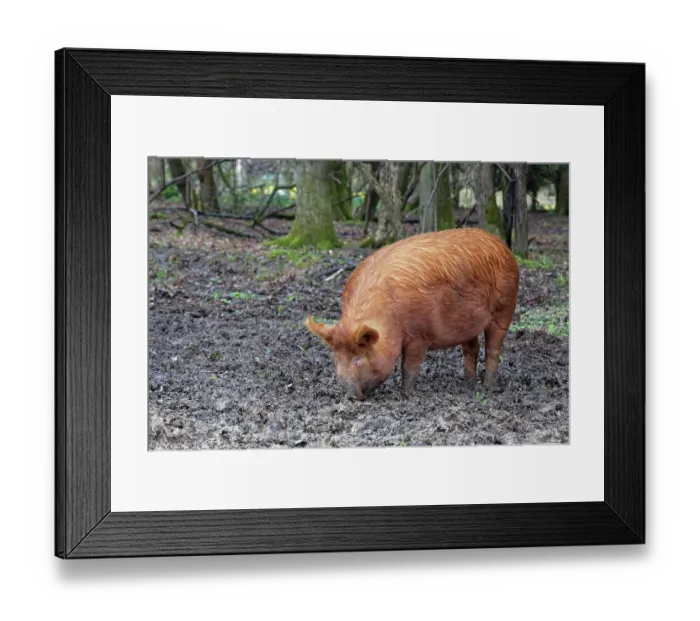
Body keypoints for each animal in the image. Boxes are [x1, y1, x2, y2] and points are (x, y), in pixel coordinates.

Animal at [305, 228, 519, 400]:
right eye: (336, 357)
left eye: (358, 358)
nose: (347, 395)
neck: (388, 318)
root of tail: (502, 246)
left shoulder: (419, 335)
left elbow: (408, 366)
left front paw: (407, 394)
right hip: (468, 324)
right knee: (471, 348)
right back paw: (468, 384)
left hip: (505, 309)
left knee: (493, 349)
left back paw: (488, 386)